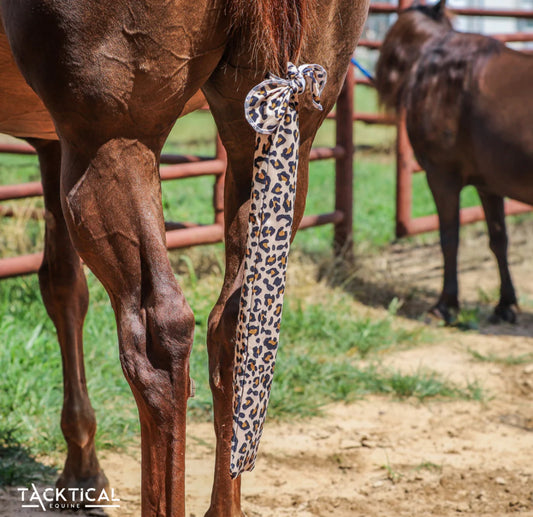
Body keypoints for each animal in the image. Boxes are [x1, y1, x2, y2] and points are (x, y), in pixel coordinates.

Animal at [0, 1, 368, 516]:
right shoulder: (50, 138)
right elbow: (63, 287)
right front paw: (81, 470)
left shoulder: (68, 138)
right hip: (270, 139)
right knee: (235, 327)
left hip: (111, 141)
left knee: (156, 335)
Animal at [374, 0, 532, 322]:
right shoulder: (489, 185)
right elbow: (498, 239)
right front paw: (505, 304)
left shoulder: (441, 175)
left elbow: (449, 239)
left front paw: (445, 305)